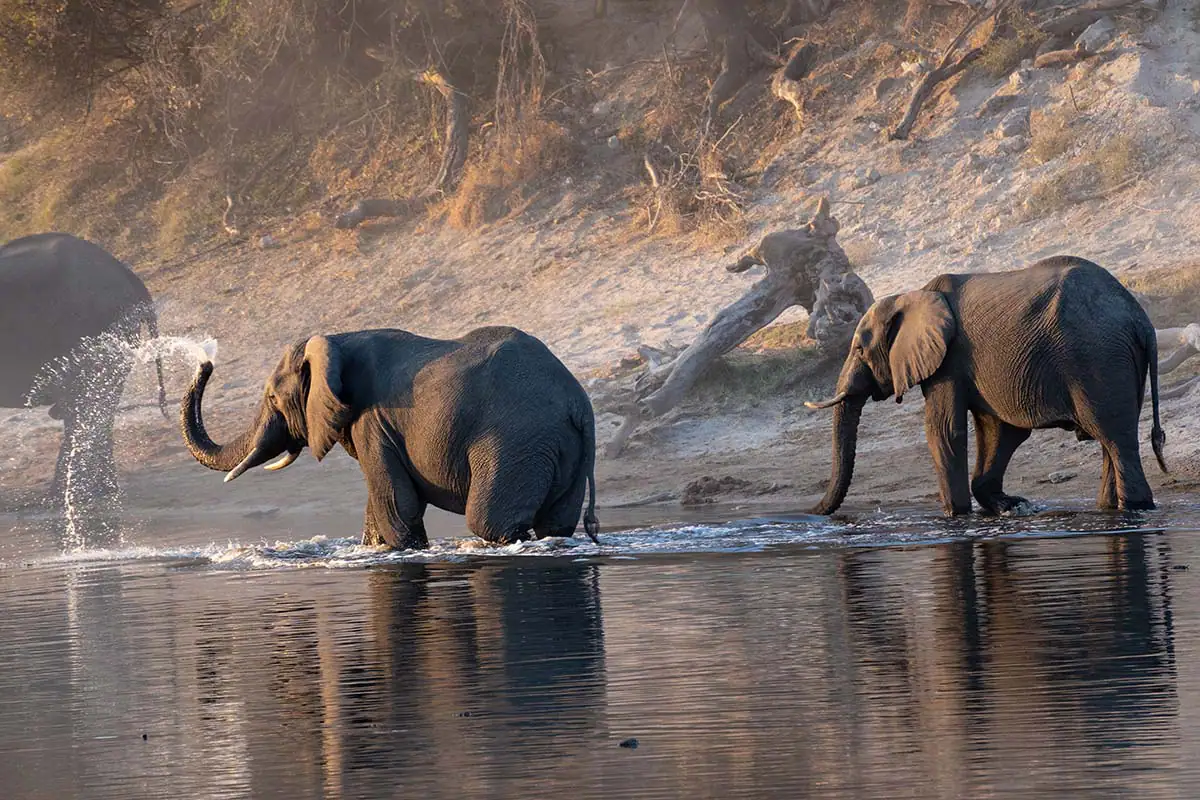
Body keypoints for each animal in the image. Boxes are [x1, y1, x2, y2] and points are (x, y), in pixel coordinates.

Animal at [0, 233, 167, 503]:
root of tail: (128, 274)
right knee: (93, 409)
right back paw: (98, 492)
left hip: (92, 329)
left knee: (86, 408)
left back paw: (66, 497)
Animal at [180, 326, 600, 550]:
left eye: (271, 398)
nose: (205, 361)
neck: (337, 340)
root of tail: (578, 403)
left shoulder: (373, 420)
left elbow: (399, 506)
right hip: (559, 448)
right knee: (556, 522)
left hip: (516, 440)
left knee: (489, 522)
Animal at [805, 256, 1167, 517]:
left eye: (858, 349)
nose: (813, 512)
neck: (912, 295)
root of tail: (1141, 320)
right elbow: (1000, 432)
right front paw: (1012, 506)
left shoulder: (949, 359)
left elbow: (944, 431)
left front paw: (956, 516)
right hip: (1115, 360)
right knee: (1111, 440)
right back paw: (1107, 510)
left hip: (1098, 358)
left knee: (1113, 437)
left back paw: (1134, 508)